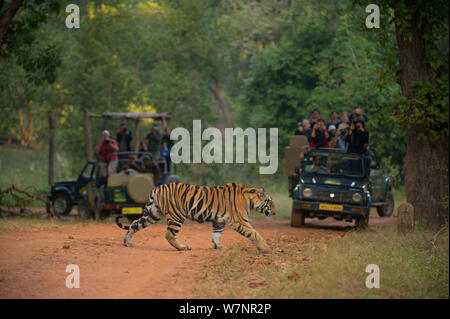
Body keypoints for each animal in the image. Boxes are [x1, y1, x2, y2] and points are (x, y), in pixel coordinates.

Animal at [114, 184, 276, 254]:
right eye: (270, 202)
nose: (274, 212)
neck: (250, 198)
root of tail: (158, 187)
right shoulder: (240, 221)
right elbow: (254, 233)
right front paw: (266, 248)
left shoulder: (219, 221)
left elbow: (216, 236)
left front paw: (219, 247)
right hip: (177, 215)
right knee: (169, 234)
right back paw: (183, 247)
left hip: (153, 214)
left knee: (134, 224)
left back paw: (127, 242)